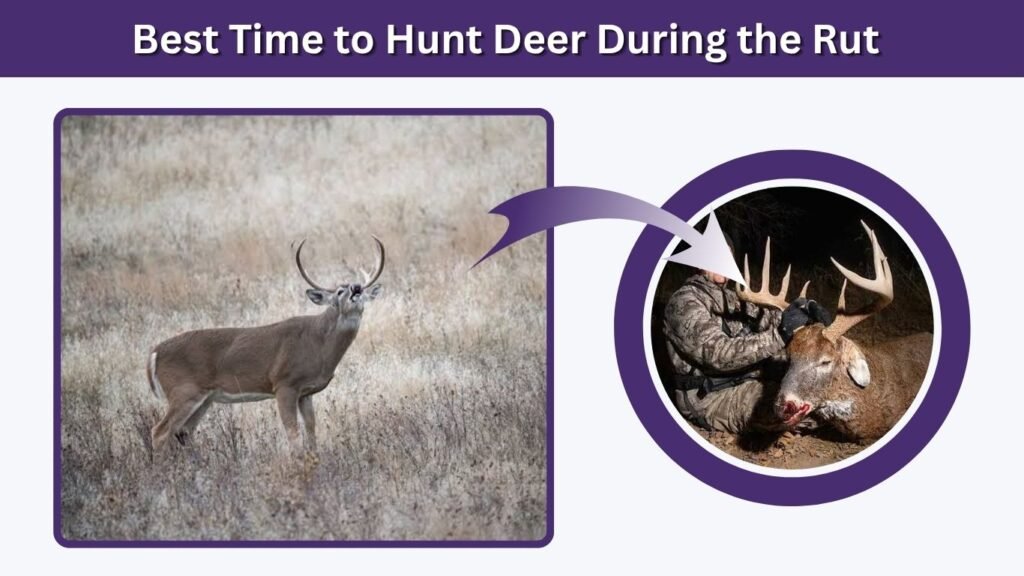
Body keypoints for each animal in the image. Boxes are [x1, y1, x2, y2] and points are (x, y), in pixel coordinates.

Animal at [145, 236, 386, 453]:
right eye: (339, 291)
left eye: (361, 288)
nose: (356, 287)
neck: (318, 344)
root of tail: (154, 353)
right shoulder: (284, 383)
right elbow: (293, 436)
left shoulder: (306, 392)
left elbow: (311, 432)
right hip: (183, 390)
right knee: (160, 432)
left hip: (204, 398)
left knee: (184, 432)